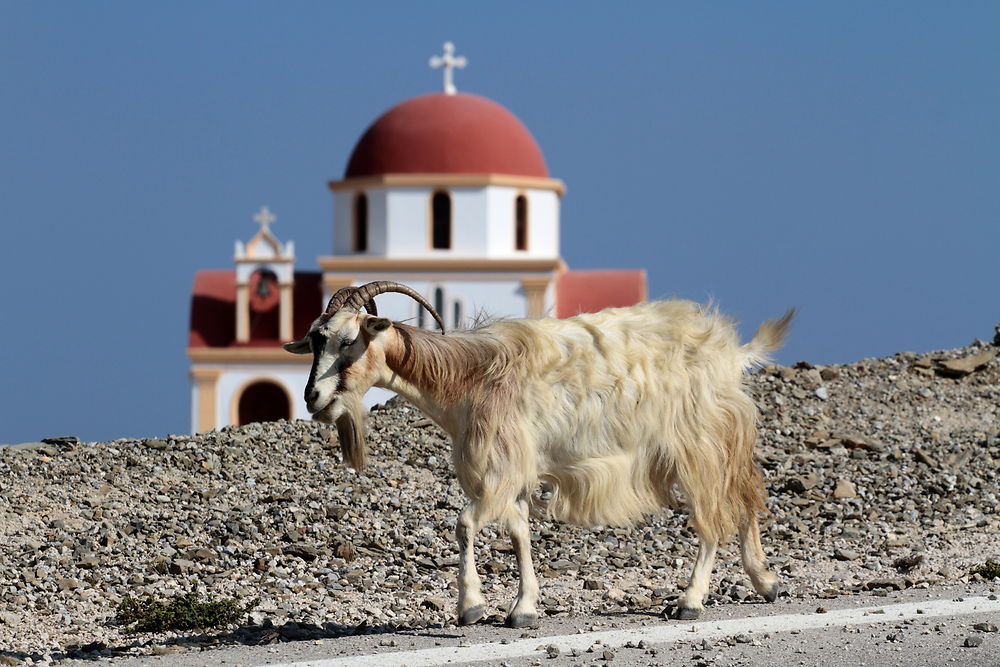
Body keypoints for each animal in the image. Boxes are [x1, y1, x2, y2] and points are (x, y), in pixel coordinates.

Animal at [286, 280, 792, 628]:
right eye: (314, 341)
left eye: (349, 341)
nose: (312, 397)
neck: (467, 378)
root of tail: (730, 351)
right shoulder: (513, 473)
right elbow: (519, 534)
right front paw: (523, 609)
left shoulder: (500, 469)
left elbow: (465, 524)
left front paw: (471, 607)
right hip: (723, 444)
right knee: (746, 499)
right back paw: (766, 582)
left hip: (698, 445)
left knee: (712, 520)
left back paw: (690, 601)